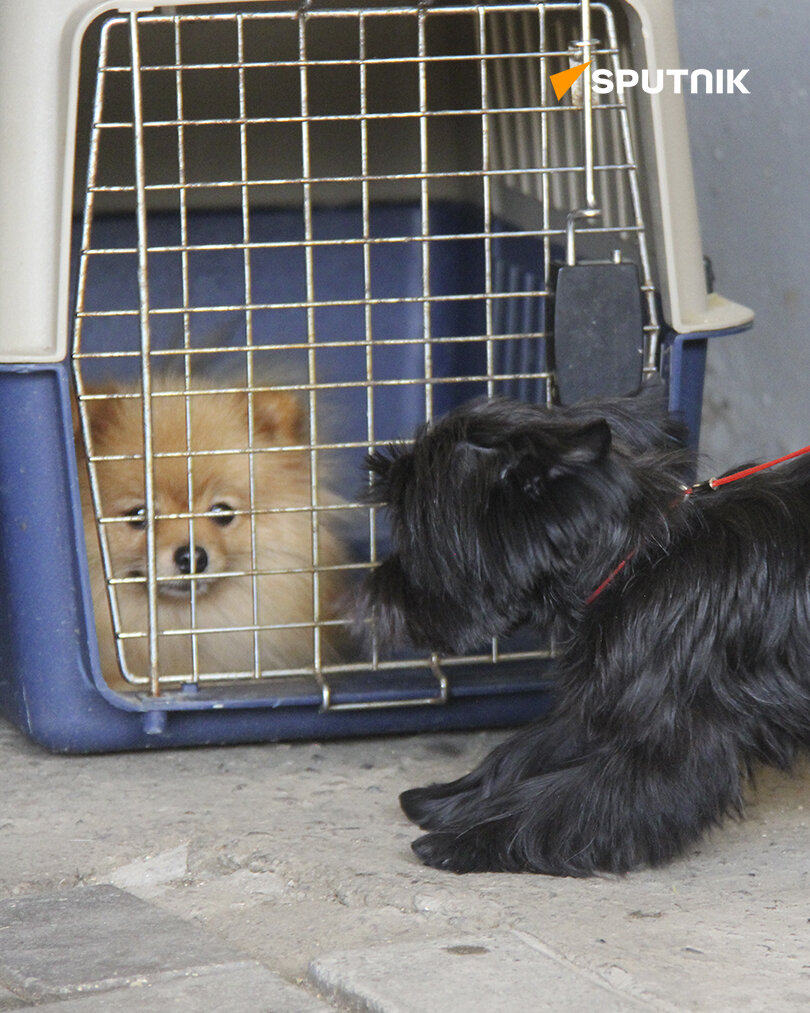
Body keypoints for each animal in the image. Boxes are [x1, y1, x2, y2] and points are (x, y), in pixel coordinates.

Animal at [356, 388, 810, 879]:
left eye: (416, 526)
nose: (374, 587)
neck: (636, 560)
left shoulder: (668, 744)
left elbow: (571, 801)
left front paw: (467, 839)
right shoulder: (602, 700)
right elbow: (524, 750)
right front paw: (454, 798)